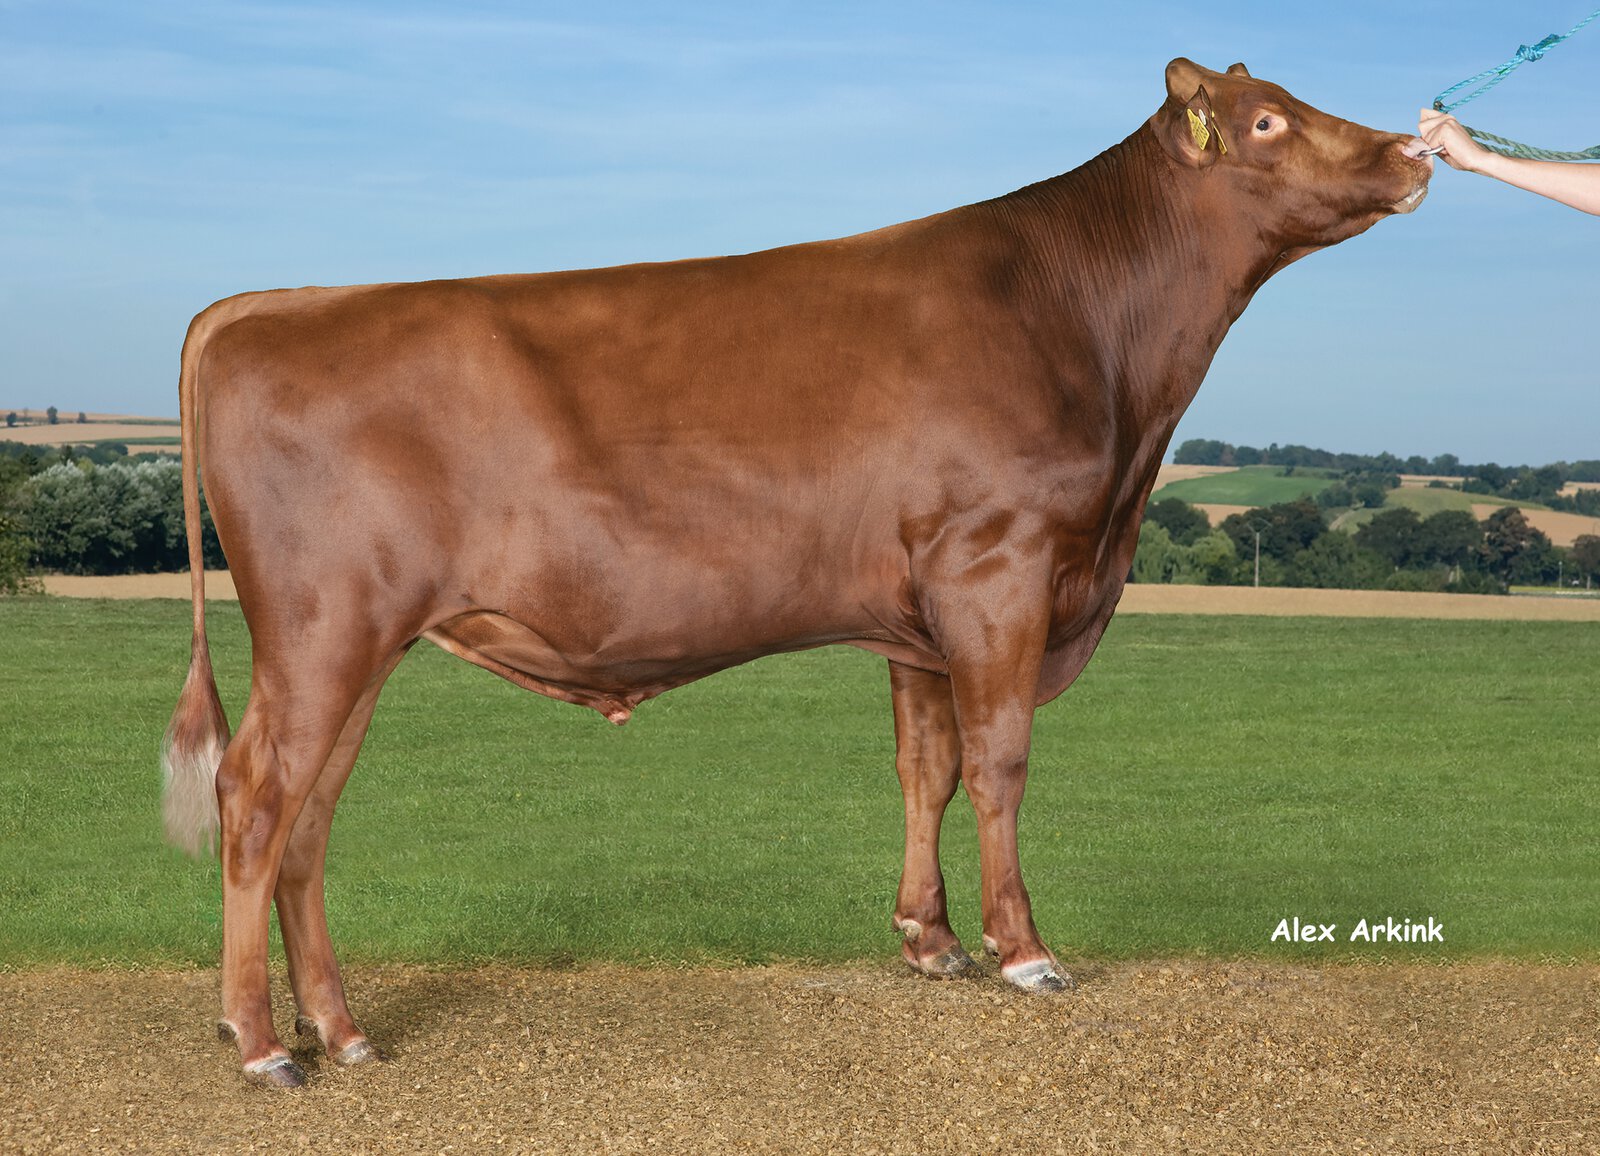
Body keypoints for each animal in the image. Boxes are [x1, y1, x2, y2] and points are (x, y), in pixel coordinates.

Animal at [162, 58, 1432, 1086]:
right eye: (1267, 121)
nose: (1411, 151)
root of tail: (264, 303)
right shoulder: (999, 569)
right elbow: (1001, 762)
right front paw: (1023, 950)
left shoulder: (920, 613)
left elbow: (927, 769)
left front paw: (929, 940)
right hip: (322, 629)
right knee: (257, 799)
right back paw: (263, 1044)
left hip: (356, 645)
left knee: (310, 820)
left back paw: (342, 1029)